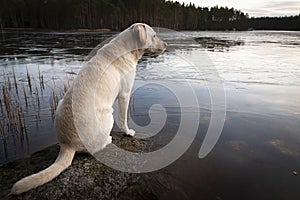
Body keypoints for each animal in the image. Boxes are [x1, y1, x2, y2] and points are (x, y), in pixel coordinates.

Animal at [11, 22, 166, 195]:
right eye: (154, 36)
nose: (166, 45)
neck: (127, 49)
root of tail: (67, 145)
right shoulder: (125, 95)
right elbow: (124, 119)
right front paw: (129, 132)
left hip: (59, 104)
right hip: (108, 116)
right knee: (95, 148)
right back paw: (108, 139)